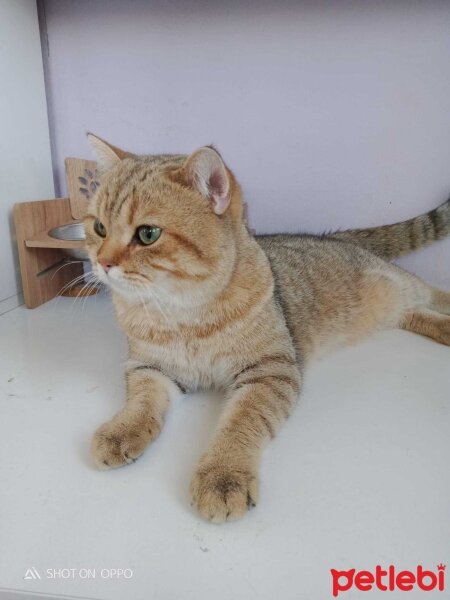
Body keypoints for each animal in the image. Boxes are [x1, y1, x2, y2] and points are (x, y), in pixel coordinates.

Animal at [84, 134, 450, 524]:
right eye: (99, 228)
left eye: (148, 234)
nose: (101, 263)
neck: (182, 314)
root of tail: (341, 238)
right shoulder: (150, 367)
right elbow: (140, 402)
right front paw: (122, 431)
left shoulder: (270, 371)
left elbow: (241, 421)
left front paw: (223, 474)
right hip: (392, 306)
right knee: (413, 314)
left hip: (401, 284)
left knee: (433, 294)